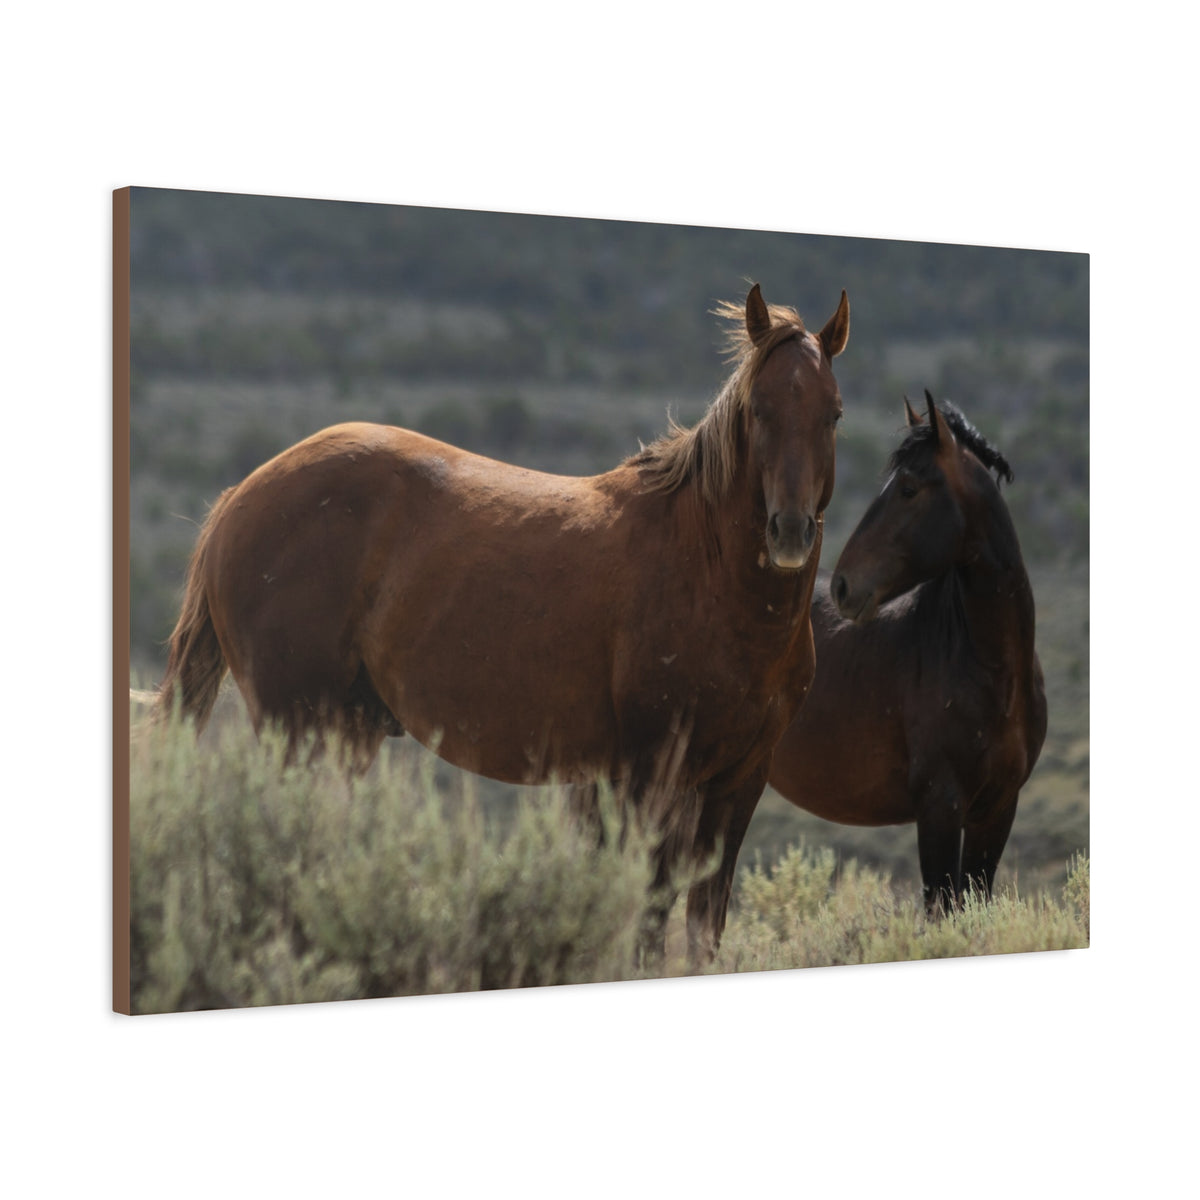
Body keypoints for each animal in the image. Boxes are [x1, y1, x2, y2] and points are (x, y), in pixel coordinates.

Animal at [152, 283, 850, 963]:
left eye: (834, 413)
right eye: (758, 410)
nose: (789, 531)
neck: (709, 572)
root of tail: (238, 498)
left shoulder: (738, 781)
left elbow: (704, 928)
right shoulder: (653, 772)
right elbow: (648, 922)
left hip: (346, 733)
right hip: (297, 728)